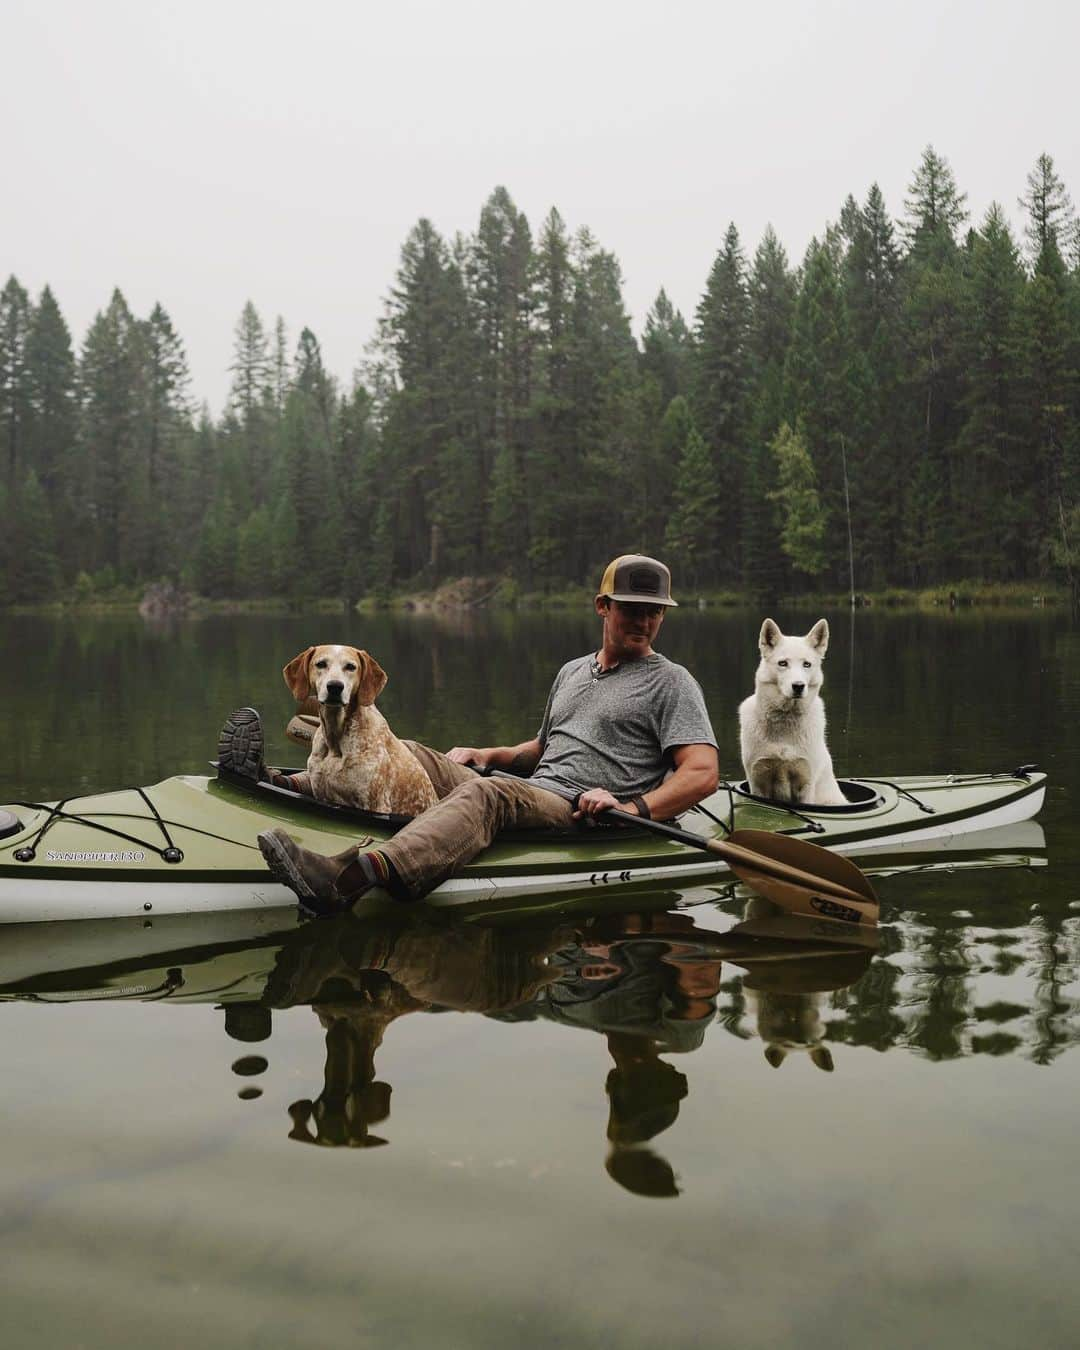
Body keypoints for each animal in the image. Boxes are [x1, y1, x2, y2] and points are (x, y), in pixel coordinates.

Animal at [739, 618, 847, 804]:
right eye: (783, 663)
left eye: (807, 664)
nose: (798, 686)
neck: (785, 720)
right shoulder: (758, 783)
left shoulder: (806, 784)